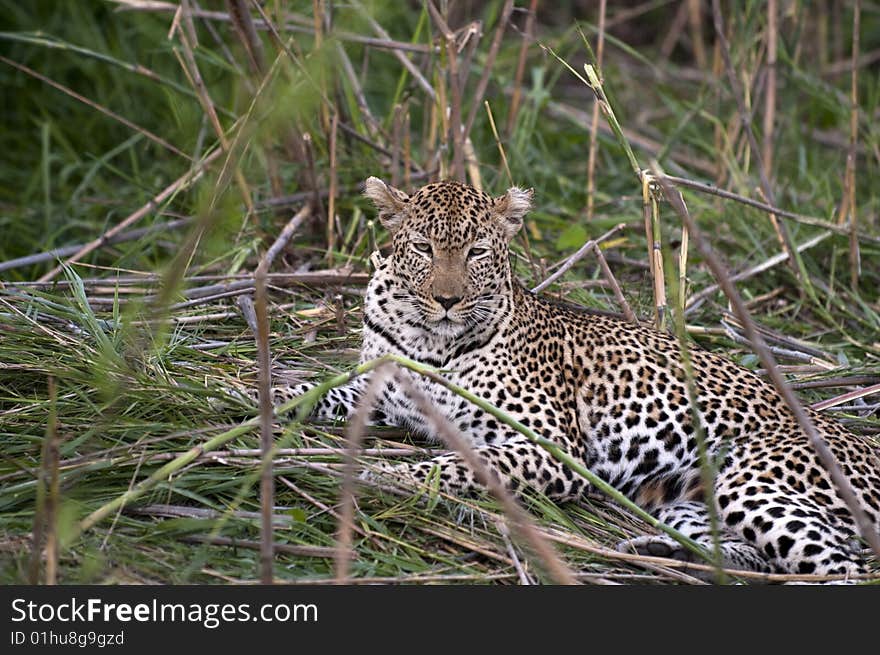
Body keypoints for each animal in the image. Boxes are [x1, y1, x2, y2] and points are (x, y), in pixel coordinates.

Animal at [268, 178, 880, 580]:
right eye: (423, 248)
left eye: (478, 251)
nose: (447, 300)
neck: (428, 340)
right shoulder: (376, 387)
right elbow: (314, 389)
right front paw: (258, 401)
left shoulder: (552, 444)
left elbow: (461, 463)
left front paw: (385, 475)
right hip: (689, 498)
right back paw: (665, 555)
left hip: (753, 480)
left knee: (843, 565)